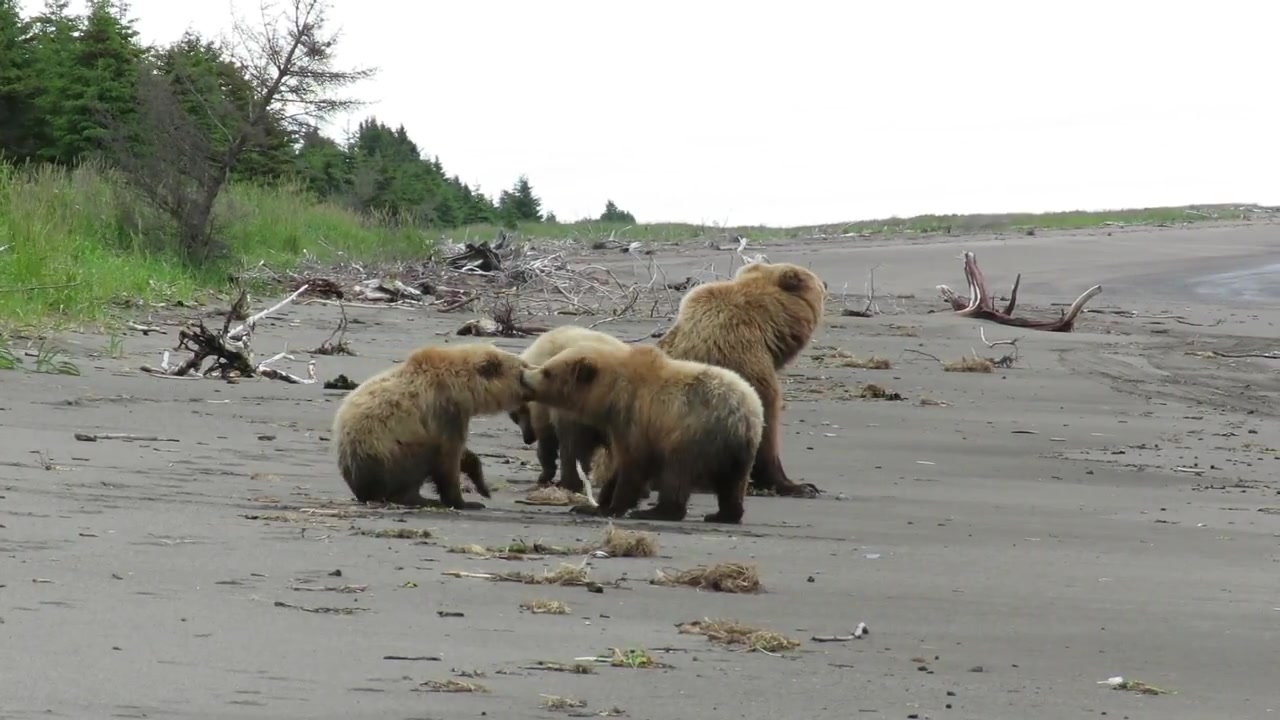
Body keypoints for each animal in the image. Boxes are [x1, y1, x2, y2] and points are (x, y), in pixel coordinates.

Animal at [332, 343, 532, 507]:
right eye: (523, 367)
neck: (463, 387)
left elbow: (462, 454)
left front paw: (480, 484)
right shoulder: (444, 412)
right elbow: (448, 459)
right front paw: (465, 501)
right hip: (392, 453)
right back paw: (419, 498)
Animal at [509, 322, 629, 489]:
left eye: (514, 416)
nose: (527, 439)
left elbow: (548, 441)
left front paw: (544, 475)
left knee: (573, 448)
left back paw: (569, 483)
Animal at [517, 343, 757, 520]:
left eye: (547, 371)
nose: (523, 375)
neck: (611, 395)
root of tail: (740, 417)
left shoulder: (636, 419)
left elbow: (632, 465)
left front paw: (612, 506)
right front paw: (592, 505)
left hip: (692, 436)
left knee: (676, 474)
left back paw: (658, 511)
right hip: (740, 453)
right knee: (733, 484)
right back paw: (723, 514)